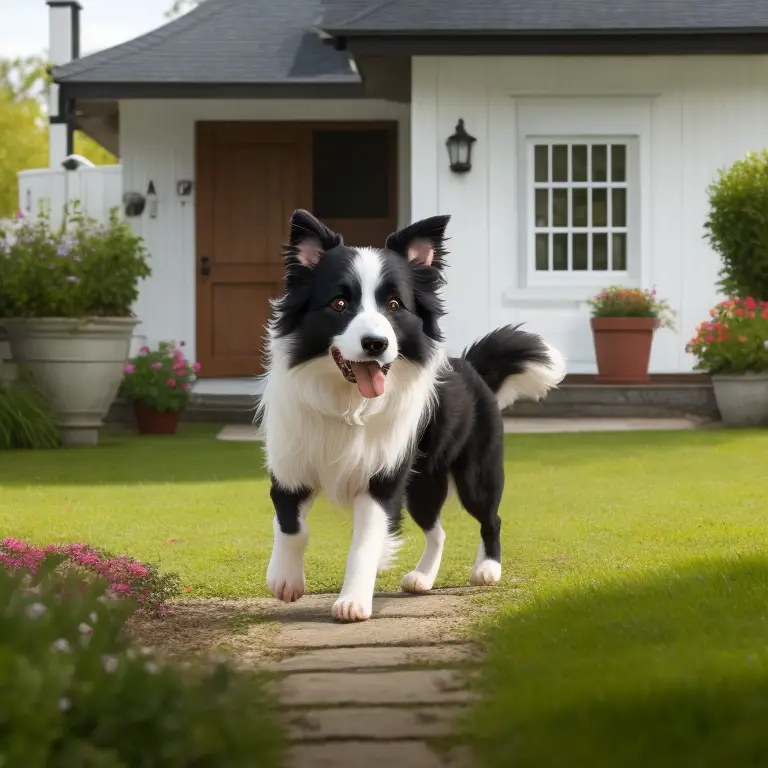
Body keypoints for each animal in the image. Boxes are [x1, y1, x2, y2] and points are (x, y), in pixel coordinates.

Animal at [256, 210, 564, 624]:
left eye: (394, 305)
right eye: (339, 303)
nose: (376, 344)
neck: (349, 403)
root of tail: (473, 368)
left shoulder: (382, 479)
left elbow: (366, 542)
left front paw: (353, 601)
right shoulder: (292, 463)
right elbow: (291, 525)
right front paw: (285, 580)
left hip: (475, 473)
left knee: (490, 518)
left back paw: (487, 568)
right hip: (422, 484)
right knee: (438, 530)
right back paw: (422, 577)